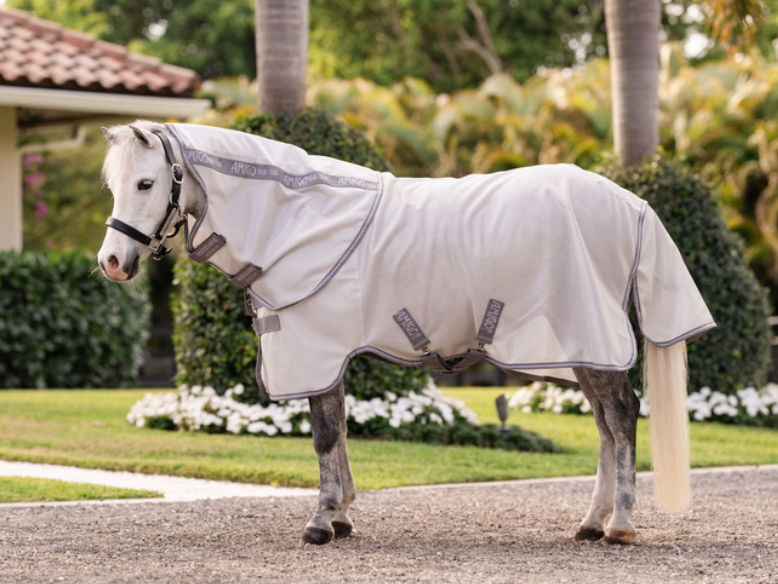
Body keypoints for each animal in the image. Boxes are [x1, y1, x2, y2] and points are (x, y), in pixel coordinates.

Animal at [97, 121, 714, 546]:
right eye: (112, 184)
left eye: (146, 182)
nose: (112, 263)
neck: (294, 218)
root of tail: (630, 203)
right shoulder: (330, 354)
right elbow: (340, 430)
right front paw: (342, 515)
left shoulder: (316, 348)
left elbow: (324, 436)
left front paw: (321, 522)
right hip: (582, 350)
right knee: (608, 426)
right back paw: (590, 522)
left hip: (591, 340)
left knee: (622, 417)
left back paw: (620, 525)